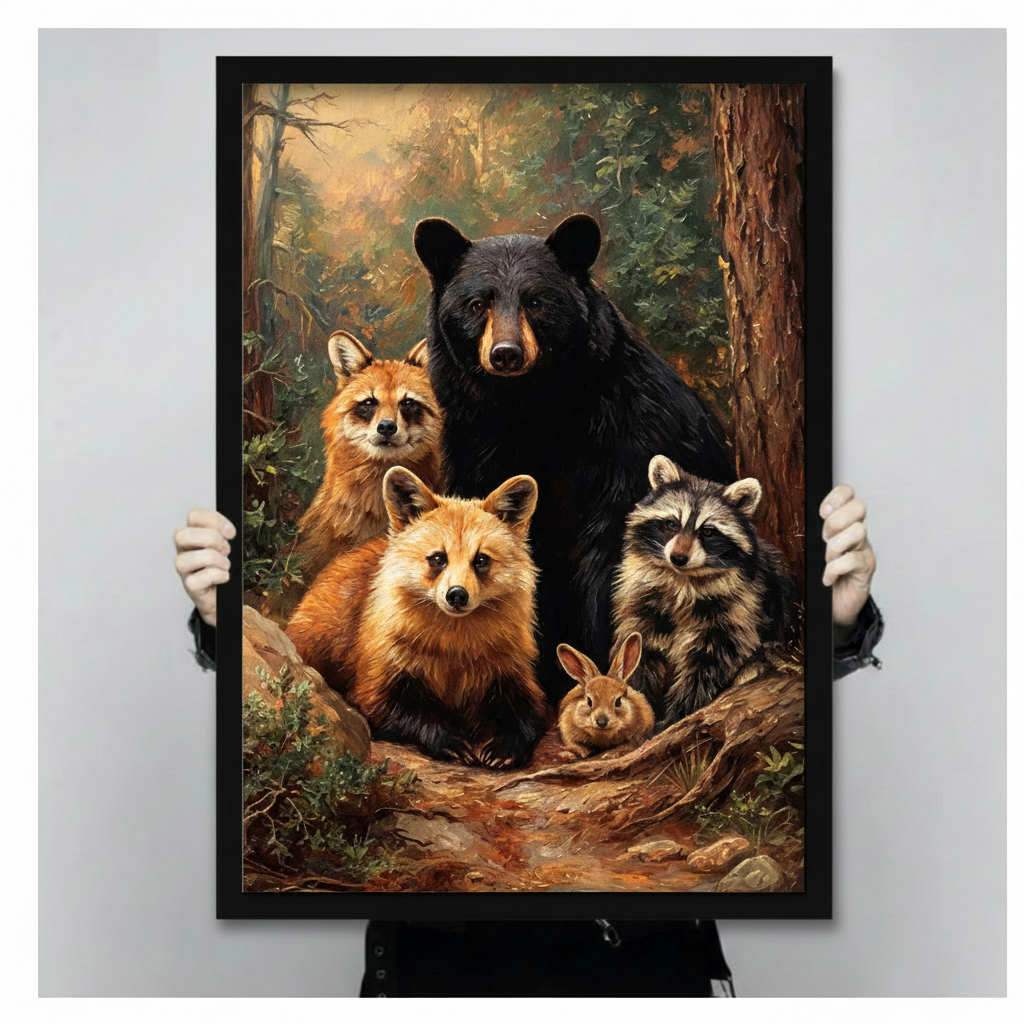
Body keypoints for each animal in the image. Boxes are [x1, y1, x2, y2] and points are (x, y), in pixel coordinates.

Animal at [286, 466, 549, 769]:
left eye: (481, 560)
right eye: (438, 558)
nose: (457, 595)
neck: (454, 641)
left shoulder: (507, 664)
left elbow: (527, 712)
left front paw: (505, 746)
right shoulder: (383, 662)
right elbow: (388, 708)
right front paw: (447, 739)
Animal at [611, 455, 797, 727]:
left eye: (708, 532)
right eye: (671, 524)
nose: (678, 558)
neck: (682, 580)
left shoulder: (736, 611)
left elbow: (709, 665)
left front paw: (679, 713)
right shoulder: (643, 603)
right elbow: (638, 651)